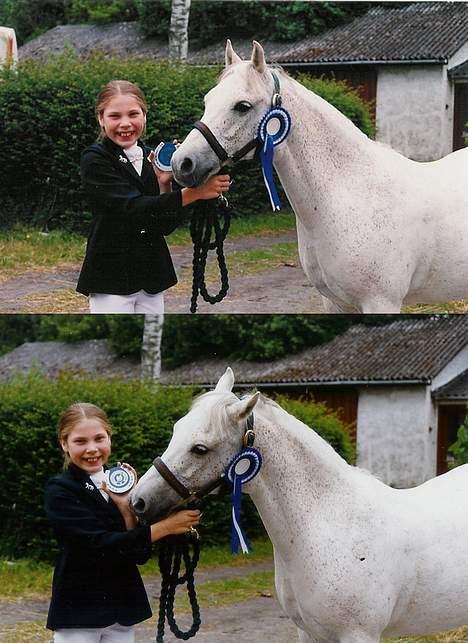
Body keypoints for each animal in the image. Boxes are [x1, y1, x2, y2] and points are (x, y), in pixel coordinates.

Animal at [131, 367, 468, 643]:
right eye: (176, 429)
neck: (328, 522)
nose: (138, 501)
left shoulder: (359, 635)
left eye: (200, 448)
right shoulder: (308, 632)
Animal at [171, 41, 468, 313]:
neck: (351, 192)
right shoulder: (335, 303)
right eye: (208, 101)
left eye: (242, 106)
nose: (181, 163)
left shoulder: (381, 302)